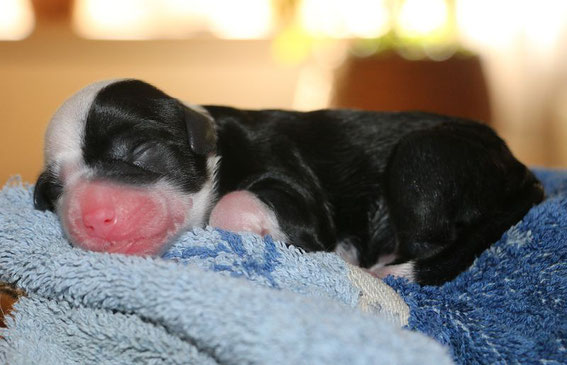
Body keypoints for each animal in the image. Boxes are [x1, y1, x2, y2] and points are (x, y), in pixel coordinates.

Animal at [32, 79, 544, 284]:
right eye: (54, 192)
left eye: (139, 154)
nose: (93, 218)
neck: (215, 148)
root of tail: (521, 171)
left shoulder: (299, 195)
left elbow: (234, 203)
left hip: (422, 158)